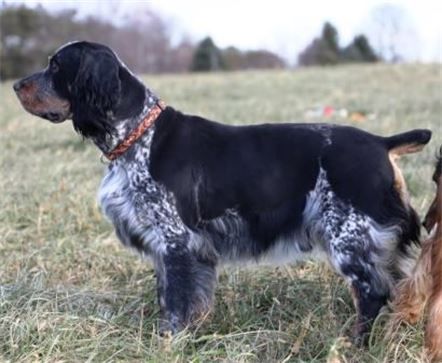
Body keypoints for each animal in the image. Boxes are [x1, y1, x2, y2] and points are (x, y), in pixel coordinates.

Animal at [14, 41, 432, 342]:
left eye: (56, 66)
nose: (16, 85)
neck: (139, 136)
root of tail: (381, 143)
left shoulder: (176, 241)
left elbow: (176, 303)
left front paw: (168, 343)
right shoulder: (177, 248)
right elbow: (179, 299)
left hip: (351, 241)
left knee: (373, 295)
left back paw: (354, 345)